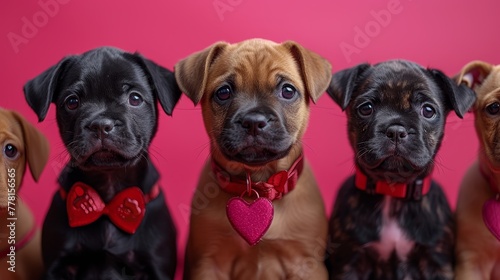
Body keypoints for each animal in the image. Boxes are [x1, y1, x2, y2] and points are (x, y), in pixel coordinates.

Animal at [175, 38, 332, 278]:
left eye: (288, 91)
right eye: (223, 92)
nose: (254, 121)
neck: (260, 183)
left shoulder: (306, 264)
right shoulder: (210, 264)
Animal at [326, 60, 474, 278]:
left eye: (428, 111)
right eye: (366, 108)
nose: (396, 130)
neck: (393, 191)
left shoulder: (436, 261)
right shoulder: (350, 262)